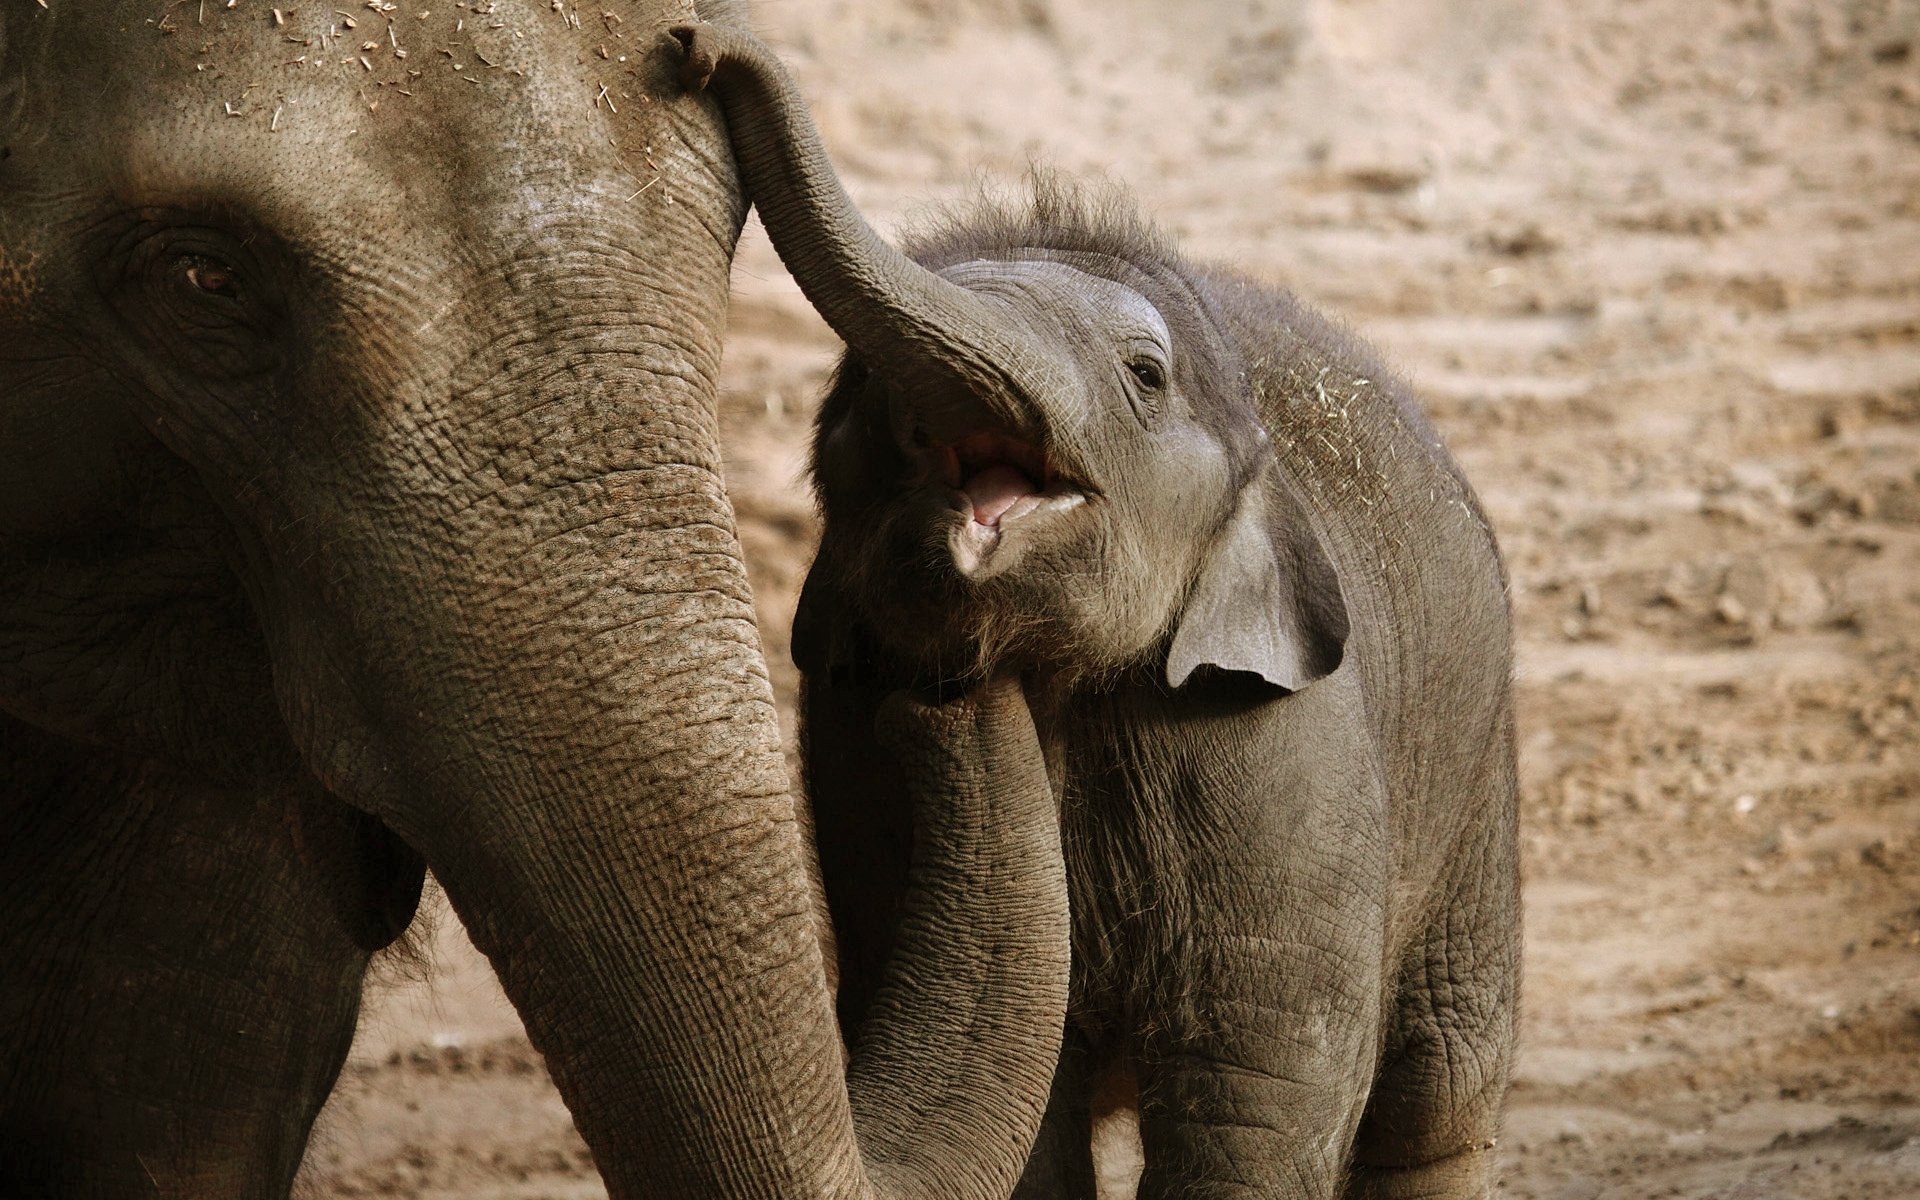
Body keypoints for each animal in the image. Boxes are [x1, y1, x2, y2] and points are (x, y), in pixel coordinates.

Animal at [677, 23, 1522, 1199]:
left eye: (1146, 375)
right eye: (853, 392)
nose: (699, 46)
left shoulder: (1287, 758)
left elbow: (1260, 1103)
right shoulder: (846, 760)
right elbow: (1023, 1118)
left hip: (1477, 794)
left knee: (1440, 1093)